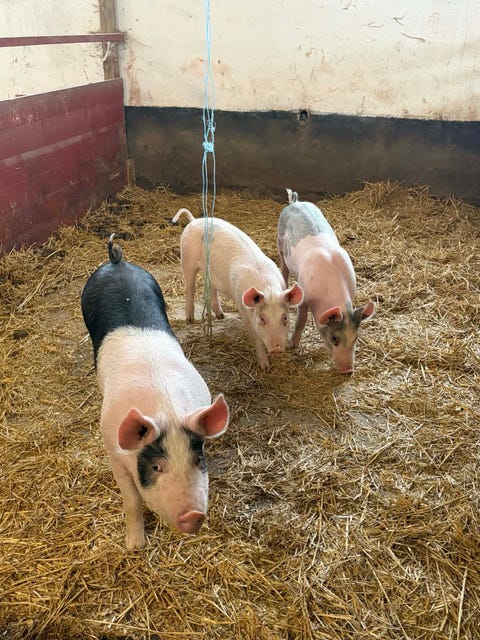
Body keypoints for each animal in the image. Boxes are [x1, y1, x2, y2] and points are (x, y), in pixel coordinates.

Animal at [81, 234, 229, 549]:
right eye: (156, 467)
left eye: (198, 460)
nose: (193, 516)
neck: (165, 407)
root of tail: (117, 262)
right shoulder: (113, 451)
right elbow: (132, 500)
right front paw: (135, 546)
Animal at [172, 208, 304, 370]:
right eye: (262, 319)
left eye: (285, 318)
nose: (277, 348)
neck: (268, 289)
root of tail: (194, 221)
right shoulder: (243, 308)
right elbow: (256, 337)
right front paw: (264, 367)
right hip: (187, 260)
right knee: (190, 287)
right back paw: (190, 320)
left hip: (211, 271)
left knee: (212, 287)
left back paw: (220, 315)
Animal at [277, 189, 375, 373]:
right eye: (334, 338)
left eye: (356, 338)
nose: (348, 371)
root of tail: (296, 203)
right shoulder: (305, 295)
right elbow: (301, 320)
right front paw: (292, 346)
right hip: (279, 242)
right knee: (284, 269)